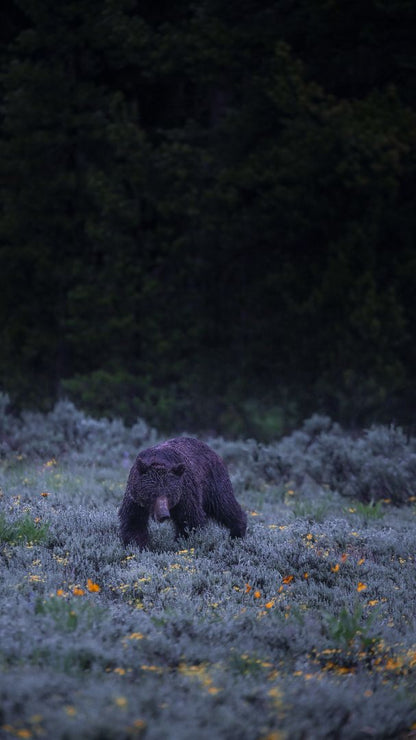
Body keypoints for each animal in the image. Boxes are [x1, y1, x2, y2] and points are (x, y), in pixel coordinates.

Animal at [118, 436, 247, 548]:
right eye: (152, 493)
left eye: (169, 494)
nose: (164, 514)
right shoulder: (135, 499)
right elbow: (134, 523)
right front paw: (138, 545)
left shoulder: (185, 494)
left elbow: (190, 521)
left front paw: (183, 542)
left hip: (213, 482)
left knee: (224, 505)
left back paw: (237, 533)